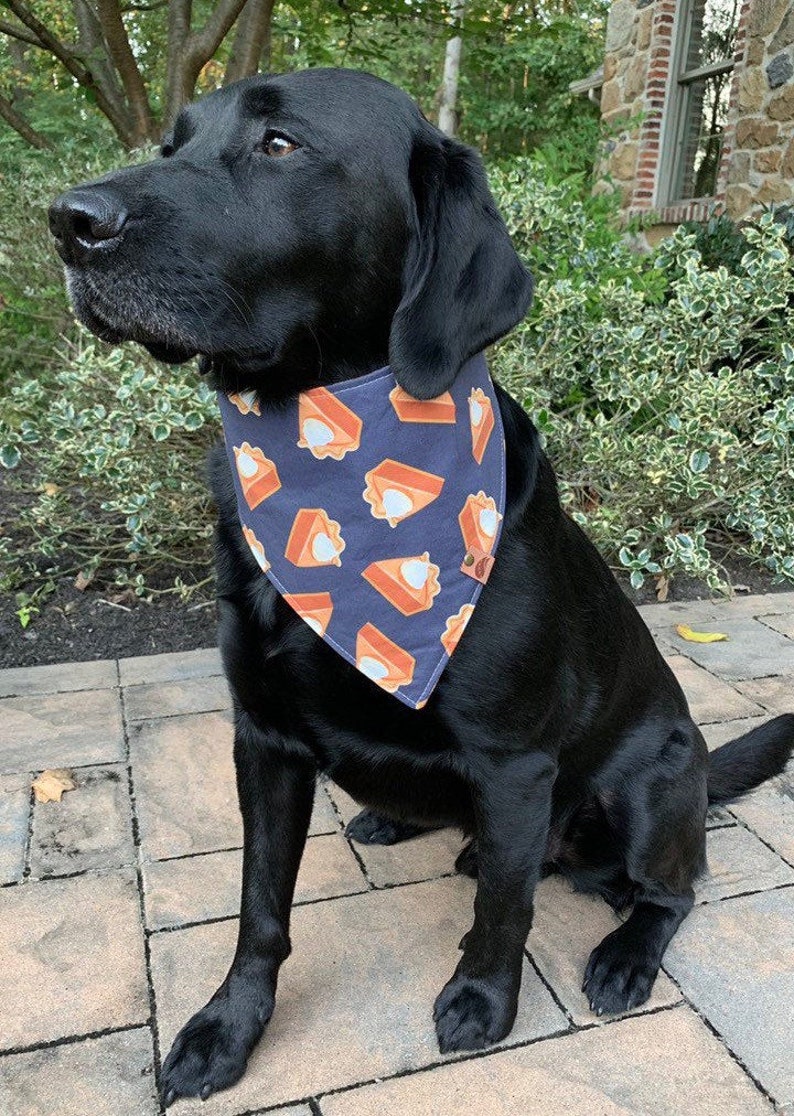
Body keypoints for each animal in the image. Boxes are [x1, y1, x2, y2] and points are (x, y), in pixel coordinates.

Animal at [51, 71, 794, 1107]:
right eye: (174, 144)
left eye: (279, 143)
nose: (68, 222)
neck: (322, 449)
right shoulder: (262, 740)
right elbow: (259, 912)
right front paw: (225, 1029)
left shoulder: (514, 762)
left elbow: (504, 914)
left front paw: (483, 1000)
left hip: (650, 788)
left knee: (670, 888)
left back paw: (622, 954)